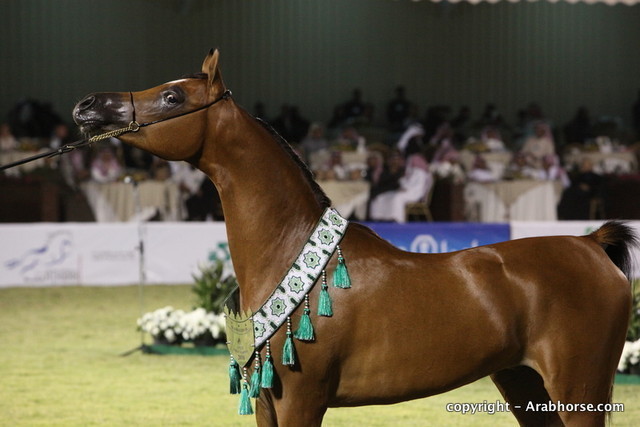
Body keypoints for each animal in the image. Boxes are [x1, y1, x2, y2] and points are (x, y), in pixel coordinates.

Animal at [73, 49, 637, 426]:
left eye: (173, 96)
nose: (87, 105)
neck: (290, 253)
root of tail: (590, 243)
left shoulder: (301, 399)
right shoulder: (268, 405)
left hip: (578, 391)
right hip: (525, 386)